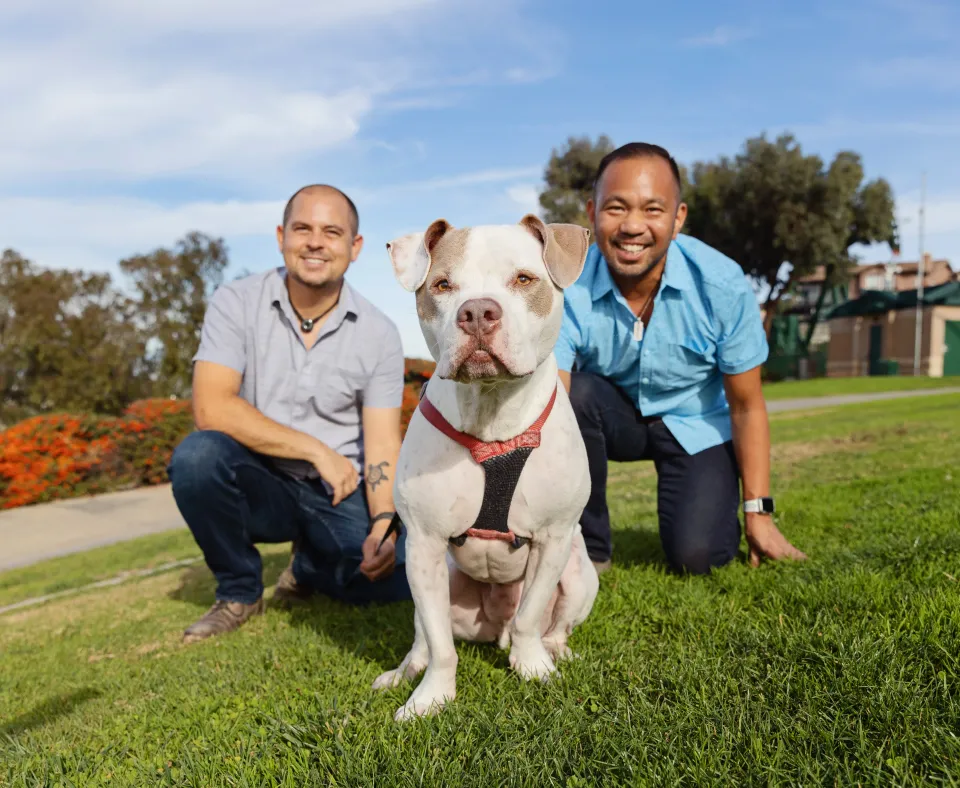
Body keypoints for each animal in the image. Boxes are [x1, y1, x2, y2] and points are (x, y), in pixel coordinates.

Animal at [372, 214, 596, 720]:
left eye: (524, 279)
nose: (476, 312)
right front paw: (431, 697)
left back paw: (554, 651)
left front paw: (533, 667)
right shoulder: (424, 546)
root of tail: (494, 627)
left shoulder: (554, 538)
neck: (493, 416)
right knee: (422, 635)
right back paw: (404, 672)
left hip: (580, 573)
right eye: (443, 284)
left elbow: (530, 615)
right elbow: (440, 645)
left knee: (549, 624)